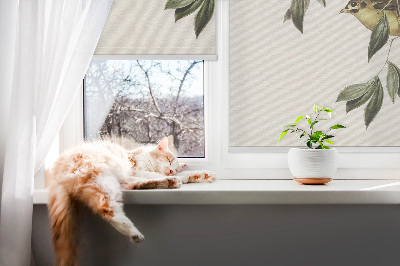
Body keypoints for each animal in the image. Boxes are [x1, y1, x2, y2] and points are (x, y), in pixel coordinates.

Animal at [48, 137, 216, 266]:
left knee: (134, 186)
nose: (171, 171)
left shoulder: (134, 174)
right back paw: (134, 232)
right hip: (103, 178)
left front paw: (203, 175)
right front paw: (183, 176)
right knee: (107, 209)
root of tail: (56, 172)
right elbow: (153, 174)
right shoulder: (136, 170)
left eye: (174, 166)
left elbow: (184, 174)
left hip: (114, 182)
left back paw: (170, 182)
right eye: (169, 160)